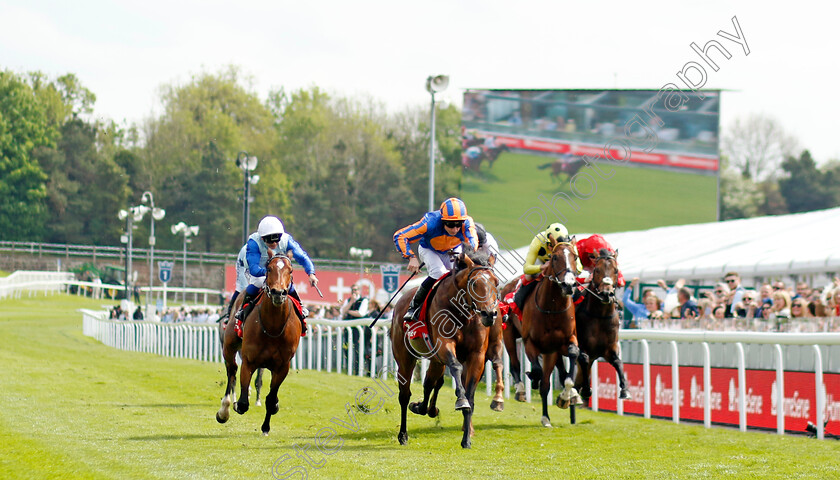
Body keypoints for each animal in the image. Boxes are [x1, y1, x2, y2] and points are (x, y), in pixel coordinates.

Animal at [213, 251, 302, 436]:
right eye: (268, 269)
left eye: (290, 270)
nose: (278, 293)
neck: (273, 327)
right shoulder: (249, 360)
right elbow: (242, 403)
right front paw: (237, 403)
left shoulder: (282, 366)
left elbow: (271, 398)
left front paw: (266, 426)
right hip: (229, 345)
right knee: (232, 371)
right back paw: (224, 410)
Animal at [392, 249, 502, 448]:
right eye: (474, 283)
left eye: (496, 282)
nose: (489, 314)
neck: (464, 313)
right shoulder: (444, 344)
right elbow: (456, 367)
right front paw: (460, 400)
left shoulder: (477, 356)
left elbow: (470, 396)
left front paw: (466, 439)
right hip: (405, 358)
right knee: (404, 394)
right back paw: (403, 434)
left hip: (436, 360)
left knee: (430, 382)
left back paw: (424, 408)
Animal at [502, 240, 580, 428]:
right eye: (554, 257)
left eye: (575, 256)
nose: (568, 285)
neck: (552, 308)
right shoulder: (530, 342)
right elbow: (536, 369)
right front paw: (532, 379)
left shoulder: (562, 343)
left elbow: (572, 359)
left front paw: (565, 396)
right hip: (508, 334)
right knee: (515, 363)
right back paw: (521, 390)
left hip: (550, 352)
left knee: (547, 383)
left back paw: (546, 417)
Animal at [576, 248, 632, 402]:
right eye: (597, 270)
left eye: (616, 270)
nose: (606, 293)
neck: (599, 316)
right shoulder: (581, 345)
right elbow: (583, 358)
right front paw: (586, 390)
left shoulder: (609, 348)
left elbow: (618, 362)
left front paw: (625, 390)